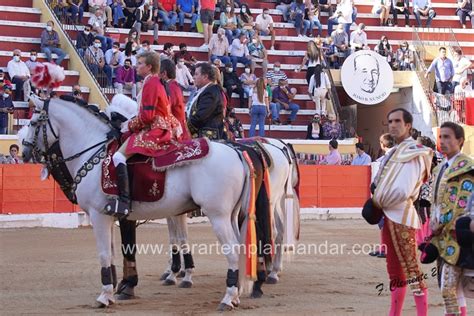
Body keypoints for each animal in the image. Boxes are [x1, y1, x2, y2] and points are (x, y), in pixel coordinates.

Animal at [20, 95, 260, 308]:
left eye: (33, 122)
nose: (24, 153)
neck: (94, 150)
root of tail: (237, 152)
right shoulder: (110, 217)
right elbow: (113, 253)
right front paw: (115, 290)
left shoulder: (99, 216)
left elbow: (105, 254)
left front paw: (105, 296)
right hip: (230, 216)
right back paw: (235, 295)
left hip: (217, 216)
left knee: (233, 250)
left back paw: (228, 298)